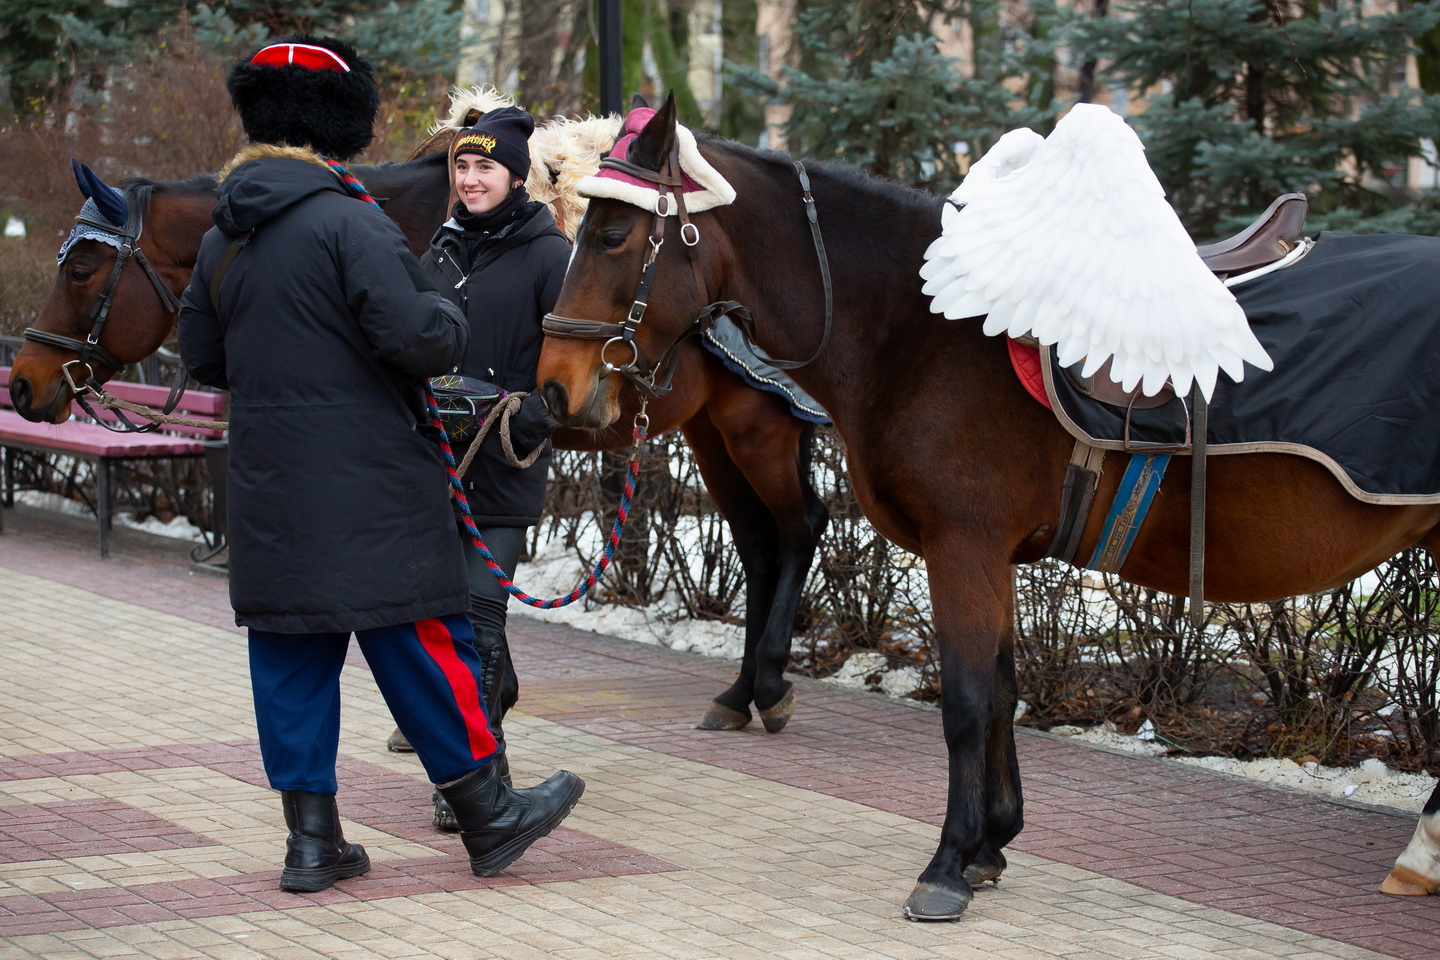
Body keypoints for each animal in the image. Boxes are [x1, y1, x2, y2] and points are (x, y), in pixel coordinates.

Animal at [535, 95, 1440, 915]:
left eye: (611, 235)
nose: (552, 391)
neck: (921, 329)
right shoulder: (990, 554)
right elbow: (1002, 692)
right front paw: (991, 843)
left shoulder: (962, 545)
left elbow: (968, 704)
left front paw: (945, 864)